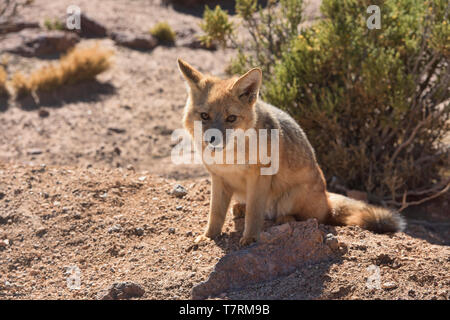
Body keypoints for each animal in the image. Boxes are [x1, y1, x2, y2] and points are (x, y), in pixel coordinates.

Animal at [178, 58, 406, 248]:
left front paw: (250, 237)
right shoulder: (218, 178)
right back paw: (241, 208)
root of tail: (326, 199)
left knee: (304, 218)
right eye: (205, 116)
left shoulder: (259, 176)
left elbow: (254, 212)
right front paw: (208, 236)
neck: (229, 159)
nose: (211, 139)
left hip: (288, 198)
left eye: (231, 118)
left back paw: (284, 219)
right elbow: (215, 213)